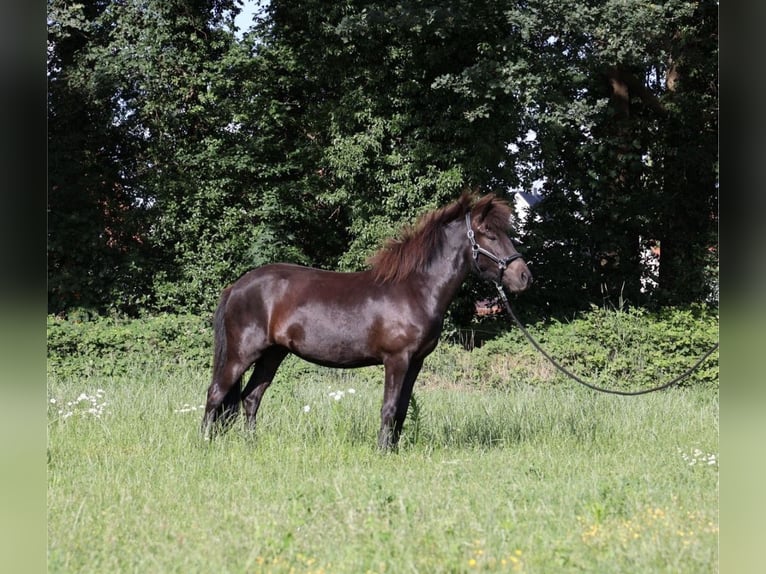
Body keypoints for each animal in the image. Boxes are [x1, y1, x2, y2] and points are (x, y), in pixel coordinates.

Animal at [202, 192, 536, 450]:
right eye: (489, 233)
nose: (523, 277)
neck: (415, 289)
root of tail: (236, 287)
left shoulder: (415, 362)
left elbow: (402, 409)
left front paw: (393, 451)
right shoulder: (396, 359)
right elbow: (389, 407)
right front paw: (382, 451)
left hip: (273, 354)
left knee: (251, 397)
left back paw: (251, 445)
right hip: (241, 354)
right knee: (216, 394)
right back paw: (204, 444)